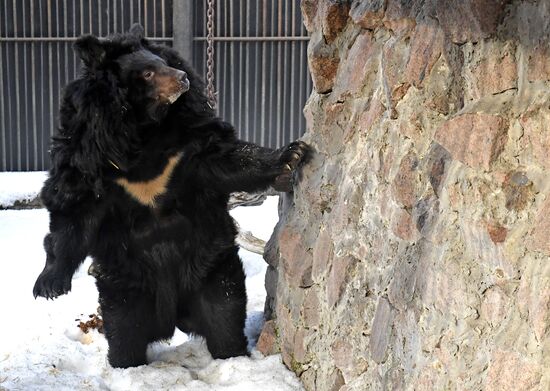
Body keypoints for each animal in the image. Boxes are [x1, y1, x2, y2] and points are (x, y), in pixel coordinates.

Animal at [32, 25, 312, 370]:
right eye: (148, 73)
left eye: (163, 61)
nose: (183, 78)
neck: (143, 129)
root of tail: (174, 316)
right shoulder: (88, 153)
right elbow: (72, 209)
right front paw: (48, 286)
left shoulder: (187, 144)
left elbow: (227, 157)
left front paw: (291, 156)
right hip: (126, 284)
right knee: (124, 329)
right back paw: (127, 364)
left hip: (211, 270)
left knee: (224, 314)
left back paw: (232, 356)